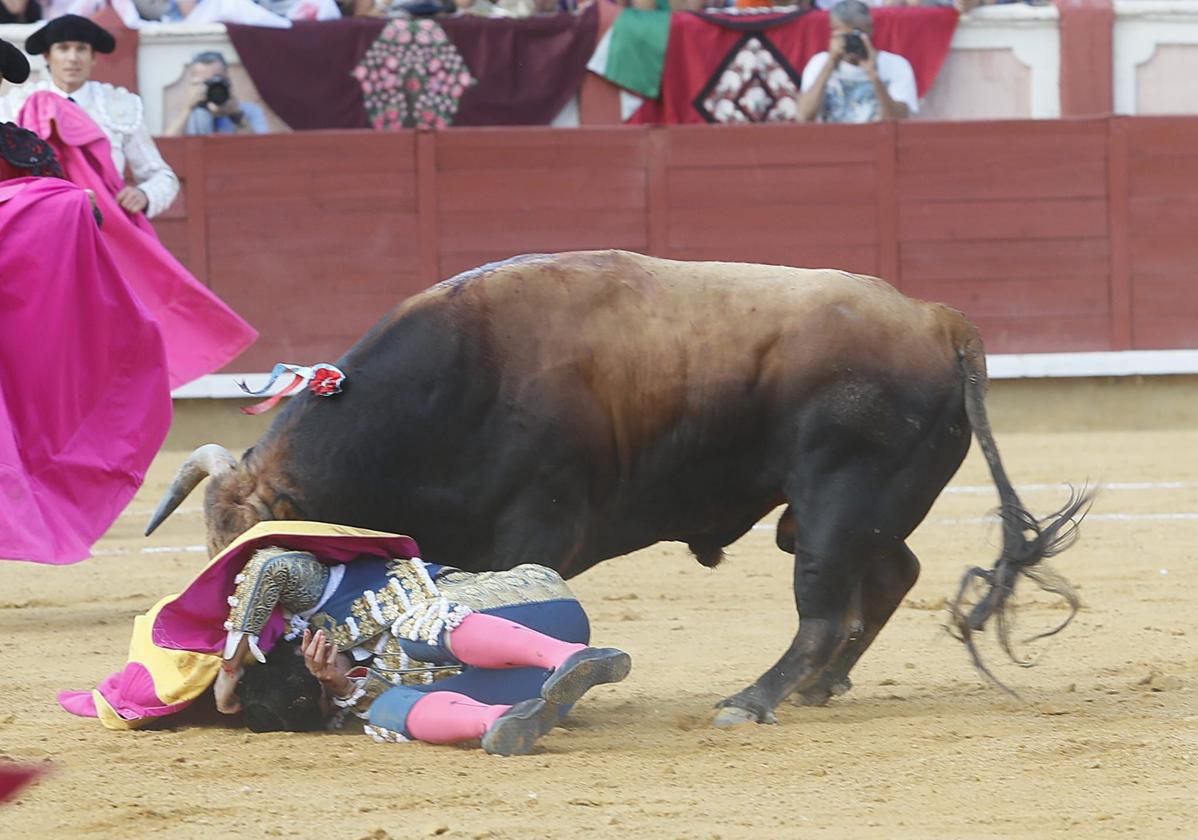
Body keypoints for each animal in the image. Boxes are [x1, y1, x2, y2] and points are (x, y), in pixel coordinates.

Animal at [144, 250, 1092, 728]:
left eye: (247, 558)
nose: (233, 675)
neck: (451, 385)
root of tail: (940, 319)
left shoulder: (538, 526)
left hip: (837, 500)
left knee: (826, 603)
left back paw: (755, 699)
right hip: (855, 508)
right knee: (892, 574)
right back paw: (822, 687)